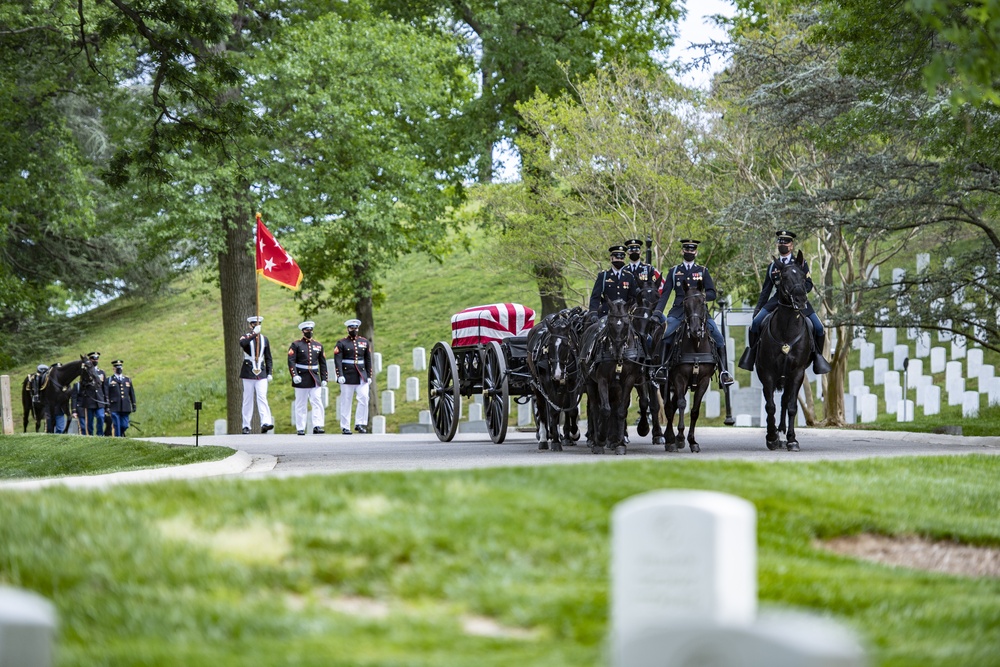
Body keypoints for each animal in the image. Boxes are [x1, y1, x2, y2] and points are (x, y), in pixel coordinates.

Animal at [528, 310, 584, 452]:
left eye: (566, 345)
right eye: (549, 345)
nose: (557, 374)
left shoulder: (573, 382)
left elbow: (572, 409)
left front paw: (574, 433)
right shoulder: (547, 382)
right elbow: (553, 411)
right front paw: (555, 441)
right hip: (537, 386)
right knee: (542, 410)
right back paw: (544, 439)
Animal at [580, 300, 640, 456]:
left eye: (626, 323)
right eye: (610, 323)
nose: (617, 349)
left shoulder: (628, 381)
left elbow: (620, 411)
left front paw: (619, 444)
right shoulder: (602, 380)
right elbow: (605, 409)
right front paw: (600, 439)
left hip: (615, 387)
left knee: (614, 407)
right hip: (590, 383)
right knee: (595, 408)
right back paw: (597, 439)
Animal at [660, 282, 716, 454]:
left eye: (702, 303)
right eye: (685, 304)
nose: (695, 330)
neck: (696, 347)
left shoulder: (704, 381)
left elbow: (695, 410)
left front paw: (692, 441)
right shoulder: (679, 379)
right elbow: (681, 404)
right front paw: (679, 437)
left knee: (671, 406)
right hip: (665, 383)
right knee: (669, 407)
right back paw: (670, 439)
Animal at [752, 253, 816, 452]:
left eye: (803, 277)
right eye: (784, 277)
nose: (801, 300)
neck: (787, 330)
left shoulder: (797, 373)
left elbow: (792, 406)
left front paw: (792, 439)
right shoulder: (767, 372)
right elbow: (770, 406)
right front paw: (771, 437)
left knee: (785, 401)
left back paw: (782, 431)